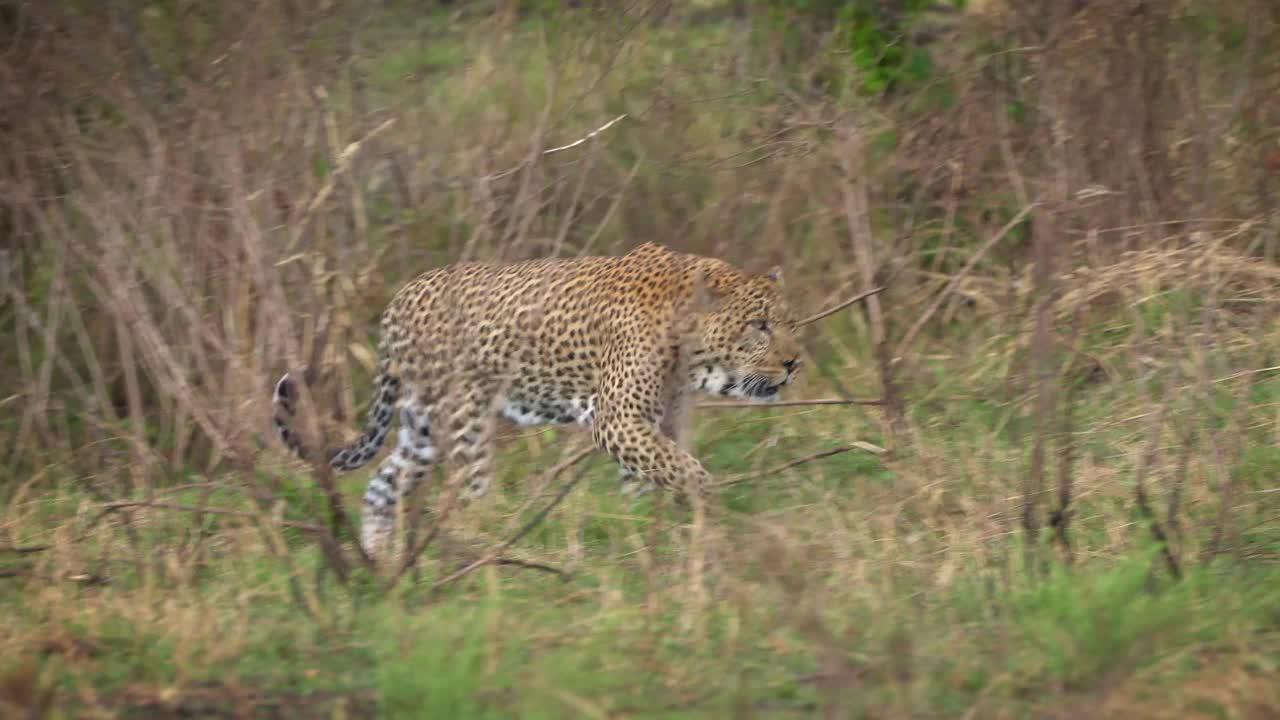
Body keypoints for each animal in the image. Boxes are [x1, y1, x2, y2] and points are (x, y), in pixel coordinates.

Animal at [272, 240, 798, 556]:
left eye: (790, 323)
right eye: (759, 326)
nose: (794, 363)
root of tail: (399, 298)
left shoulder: (655, 423)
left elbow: (652, 475)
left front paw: (644, 533)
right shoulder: (618, 419)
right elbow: (687, 469)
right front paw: (708, 510)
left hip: (421, 427)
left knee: (382, 485)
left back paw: (379, 563)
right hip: (462, 417)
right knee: (466, 492)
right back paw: (487, 549)